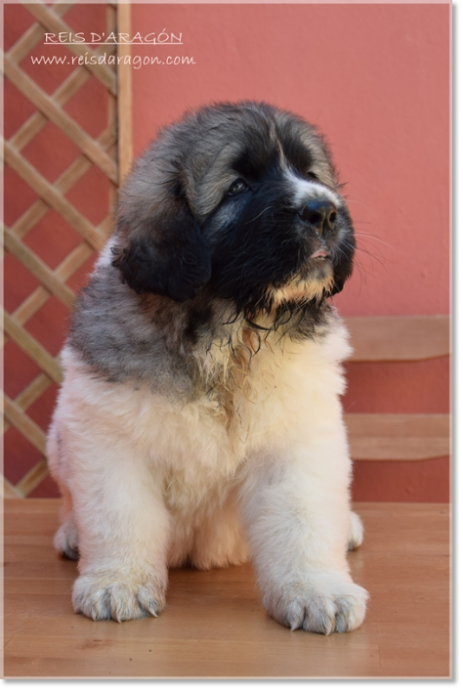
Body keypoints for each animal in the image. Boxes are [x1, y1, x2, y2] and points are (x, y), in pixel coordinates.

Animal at [48, 99, 370, 632]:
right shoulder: (108, 437)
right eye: (238, 187)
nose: (324, 211)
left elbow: (302, 516)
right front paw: (118, 582)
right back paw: (73, 534)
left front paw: (317, 590)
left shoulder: (298, 437)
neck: (231, 331)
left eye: (310, 174)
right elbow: (120, 515)